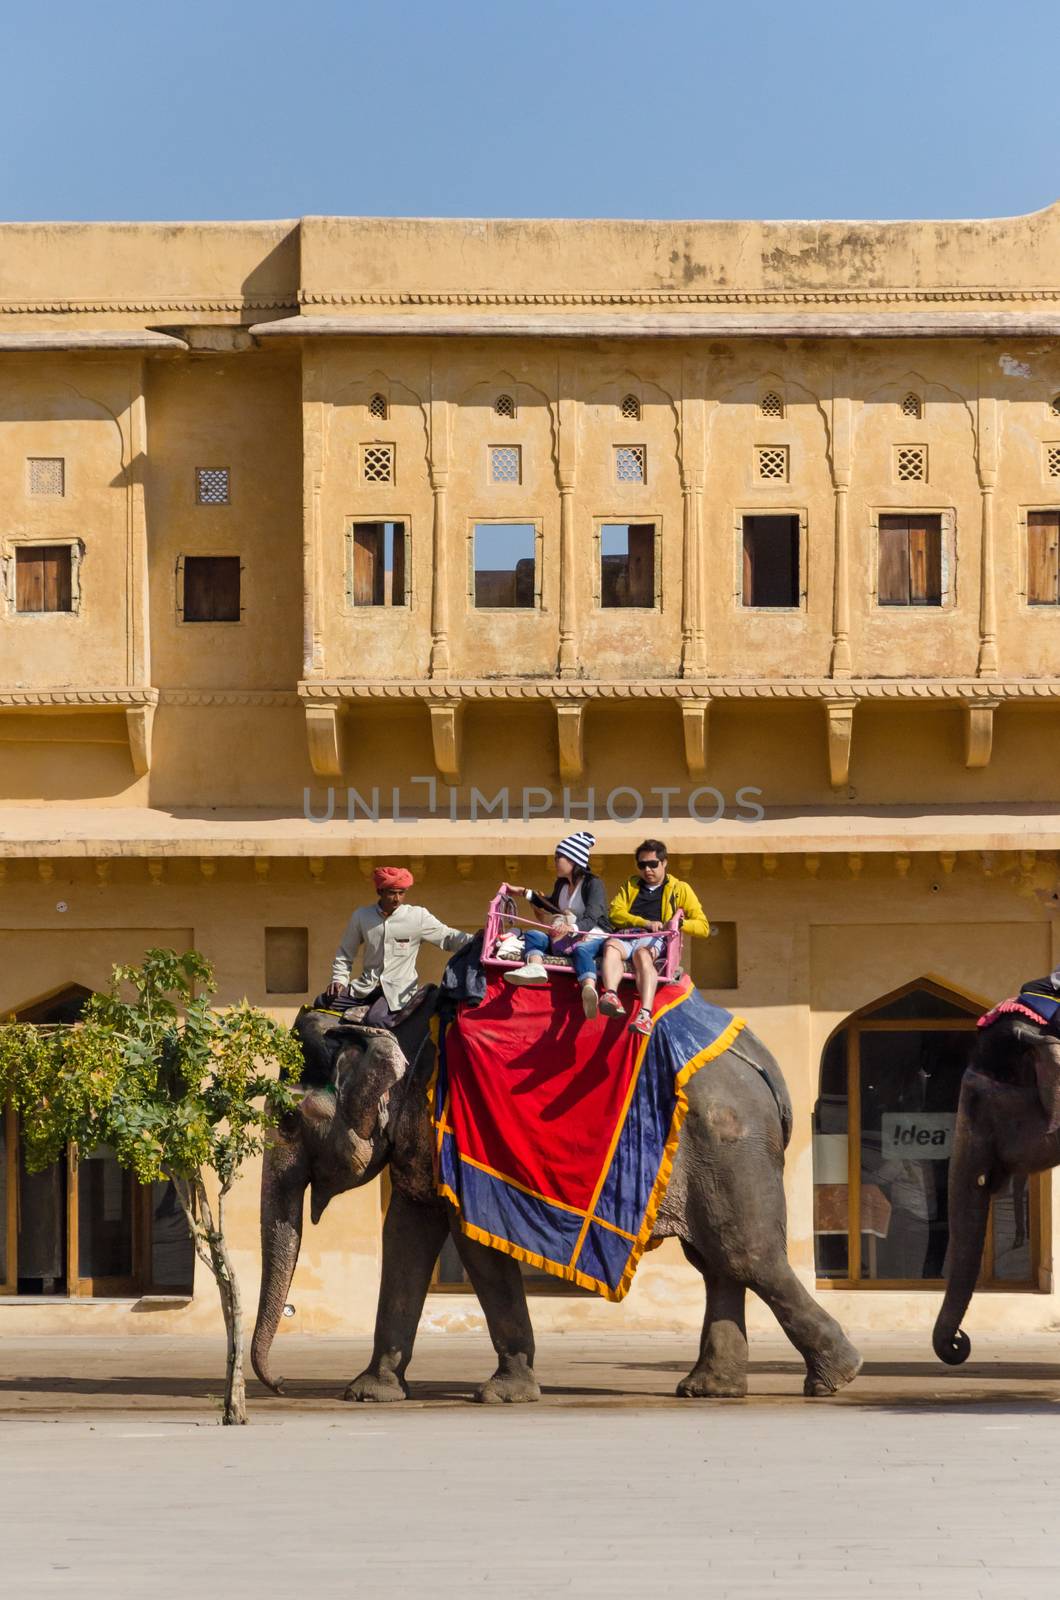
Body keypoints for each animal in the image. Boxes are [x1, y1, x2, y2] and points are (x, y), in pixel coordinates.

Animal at [252, 985, 871, 1401]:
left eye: (287, 1120)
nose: (279, 1384)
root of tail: (764, 1064)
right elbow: (406, 1235)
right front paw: (367, 1392)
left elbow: (473, 1246)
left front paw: (501, 1393)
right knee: (717, 1260)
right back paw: (708, 1389)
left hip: (727, 1138)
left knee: (746, 1254)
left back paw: (836, 1377)